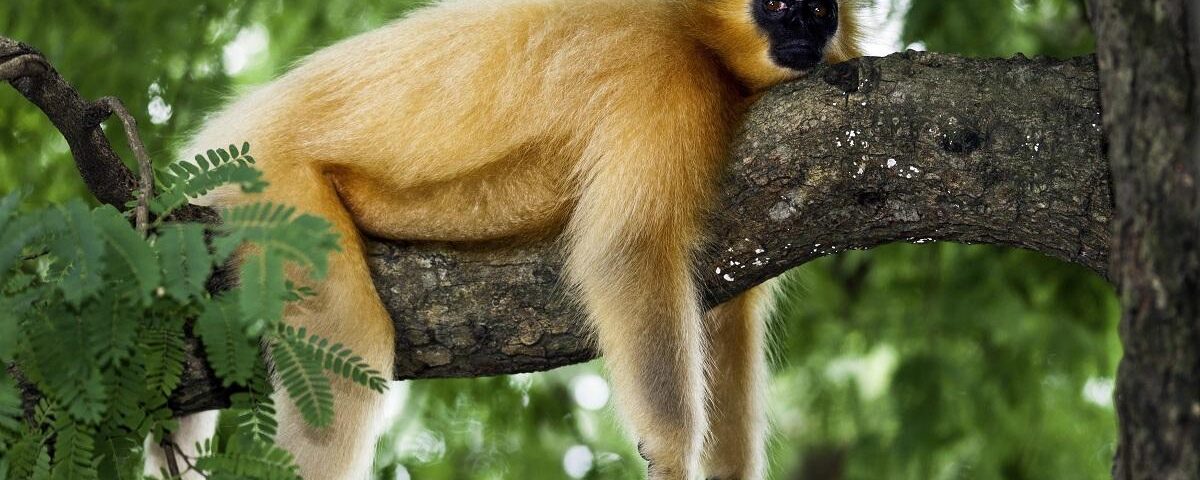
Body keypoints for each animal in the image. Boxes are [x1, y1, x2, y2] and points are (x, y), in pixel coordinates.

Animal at [148, 0, 862, 478]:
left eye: (818, 9)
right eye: (778, 4)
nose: (807, 32)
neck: (695, 28)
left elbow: (725, 312)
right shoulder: (662, 76)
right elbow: (626, 253)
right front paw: (671, 457)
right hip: (269, 180)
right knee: (350, 348)